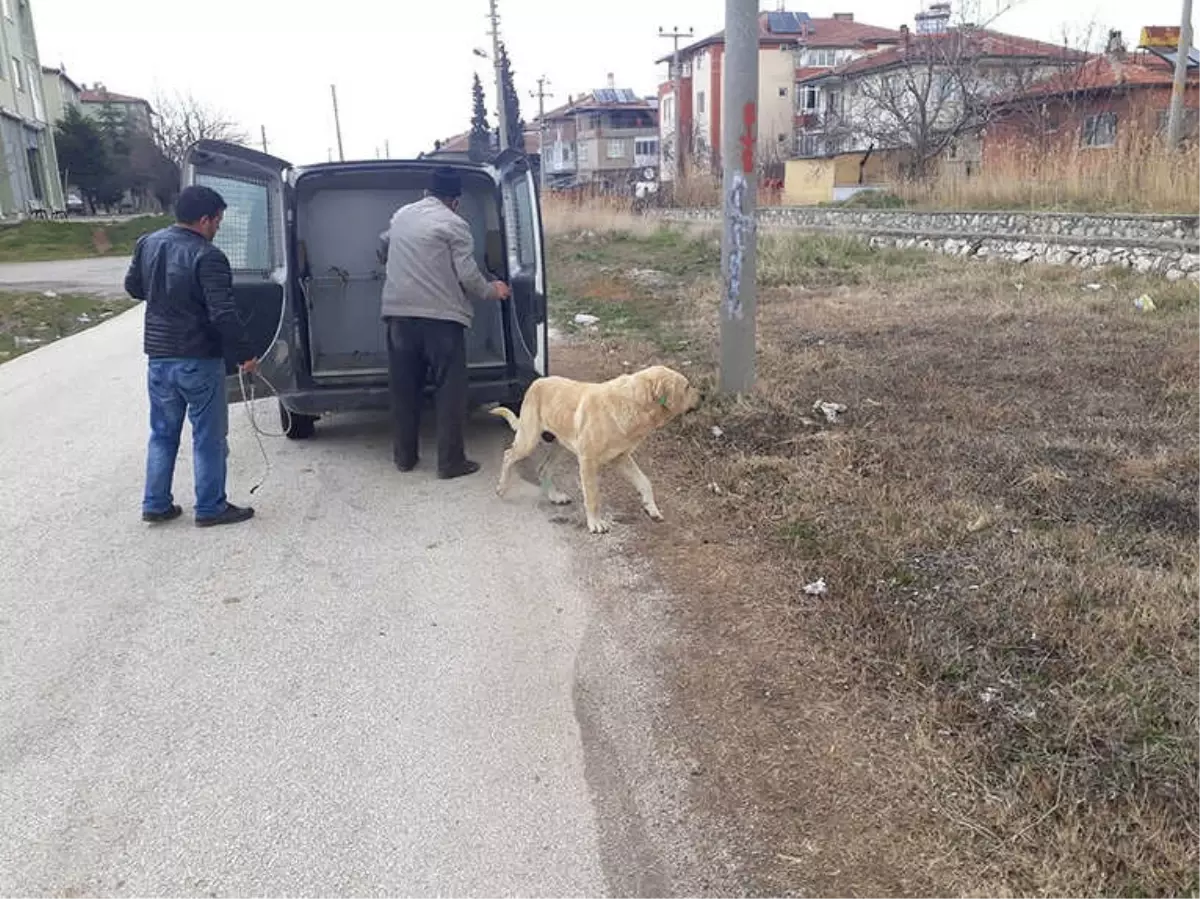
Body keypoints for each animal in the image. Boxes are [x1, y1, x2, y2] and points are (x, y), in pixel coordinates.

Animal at [489, 364, 700, 532]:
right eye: (687, 386)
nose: (704, 396)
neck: (634, 403)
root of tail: (538, 381)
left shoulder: (621, 458)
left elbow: (645, 482)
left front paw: (652, 508)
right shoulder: (588, 462)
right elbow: (593, 496)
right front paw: (595, 523)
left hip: (561, 446)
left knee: (543, 469)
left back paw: (555, 496)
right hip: (528, 440)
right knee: (508, 455)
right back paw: (501, 487)